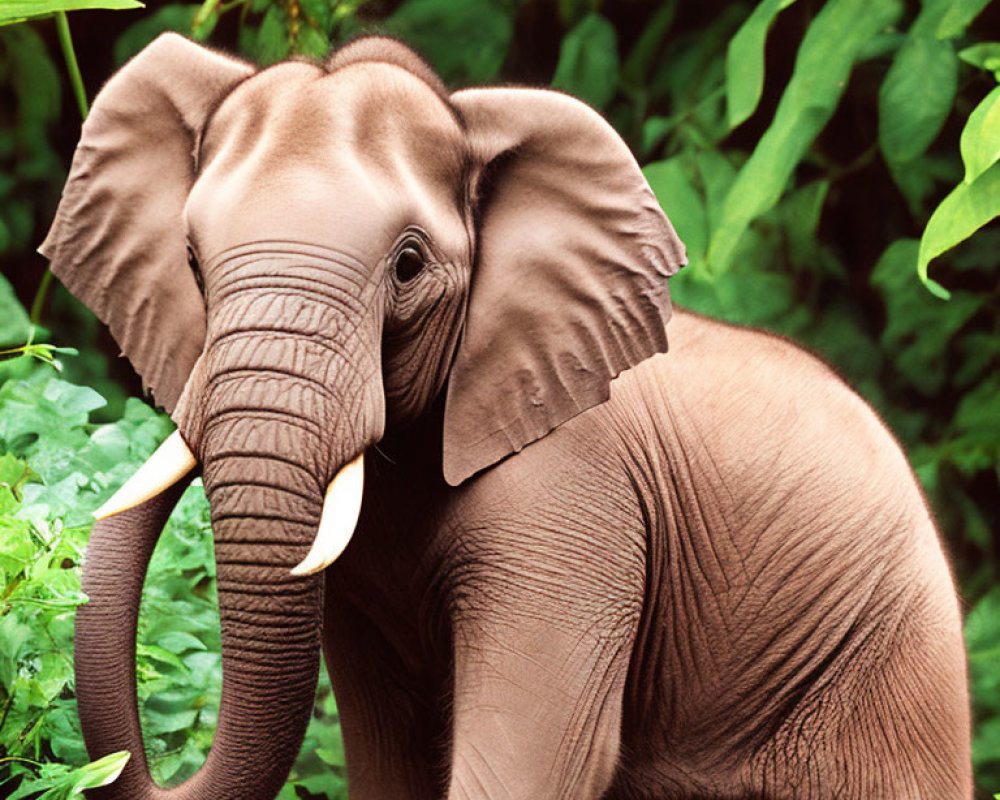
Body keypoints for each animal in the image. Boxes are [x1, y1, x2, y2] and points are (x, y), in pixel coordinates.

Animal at [39, 31, 968, 800]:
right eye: (193, 260)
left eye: (408, 266)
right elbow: (391, 761)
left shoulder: (576, 500)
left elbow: (540, 763)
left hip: (890, 669)